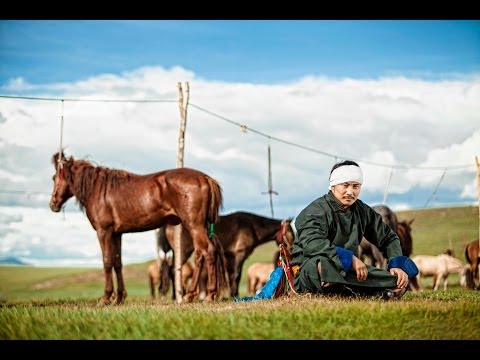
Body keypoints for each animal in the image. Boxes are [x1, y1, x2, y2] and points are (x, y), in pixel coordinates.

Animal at [48, 150, 227, 306]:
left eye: (54, 177)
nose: (53, 204)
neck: (98, 189)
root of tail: (205, 178)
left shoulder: (103, 232)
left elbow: (107, 261)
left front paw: (106, 298)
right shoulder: (116, 234)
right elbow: (117, 262)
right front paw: (119, 297)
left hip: (194, 225)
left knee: (206, 251)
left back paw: (203, 295)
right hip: (201, 226)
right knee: (204, 253)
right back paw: (200, 294)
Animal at [158, 211, 294, 298]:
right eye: (291, 233)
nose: (292, 249)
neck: (252, 226)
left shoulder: (230, 257)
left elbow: (231, 275)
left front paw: (232, 294)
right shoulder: (240, 254)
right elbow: (237, 275)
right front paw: (234, 294)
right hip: (183, 252)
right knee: (173, 270)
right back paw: (177, 295)